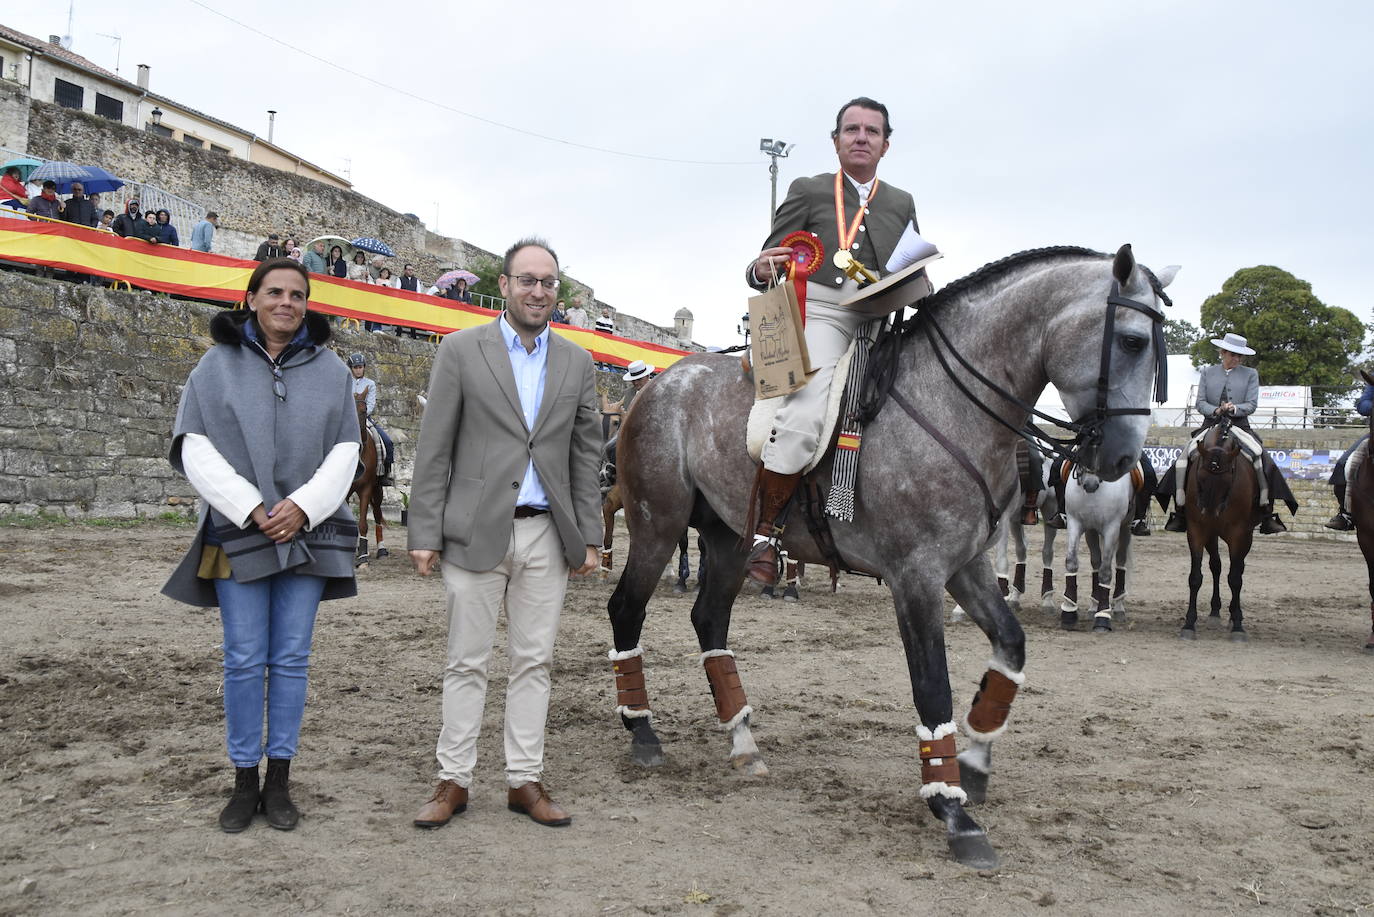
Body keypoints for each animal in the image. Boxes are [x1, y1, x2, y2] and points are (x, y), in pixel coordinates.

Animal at [607, 243, 1176, 868]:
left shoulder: (966, 566)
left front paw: (973, 763)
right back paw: (642, 731)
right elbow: (933, 688)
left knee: (709, 619)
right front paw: (952, 809)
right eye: (1133, 342)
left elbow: (1011, 645)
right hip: (657, 525)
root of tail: (662, 382)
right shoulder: (916, 577)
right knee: (626, 609)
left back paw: (743, 741)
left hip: (728, 538)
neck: (951, 406)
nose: (1121, 459)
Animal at [1181, 415, 1258, 637]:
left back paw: (1232, 615)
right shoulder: (1197, 530)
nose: (1210, 514)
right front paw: (1189, 623)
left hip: (1244, 536)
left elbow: (1235, 578)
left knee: (1238, 569)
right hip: (1211, 535)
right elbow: (1195, 577)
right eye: (1200, 477)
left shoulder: (1239, 534)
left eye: (1227, 479)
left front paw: (1238, 624)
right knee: (1216, 565)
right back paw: (1215, 610)